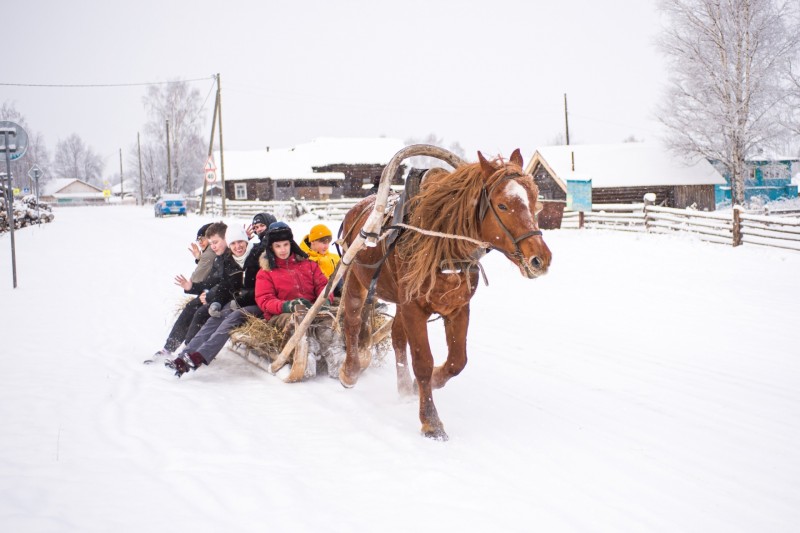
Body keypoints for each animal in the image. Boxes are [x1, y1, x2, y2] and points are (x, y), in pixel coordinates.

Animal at [338, 148, 552, 438]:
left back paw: (403, 386)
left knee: (396, 338)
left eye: (534, 202)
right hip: (356, 277)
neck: (441, 245)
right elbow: (423, 362)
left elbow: (456, 361)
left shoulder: (457, 308)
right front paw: (430, 420)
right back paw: (350, 371)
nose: (540, 259)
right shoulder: (413, 308)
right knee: (352, 320)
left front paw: (422, 386)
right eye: (503, 205)